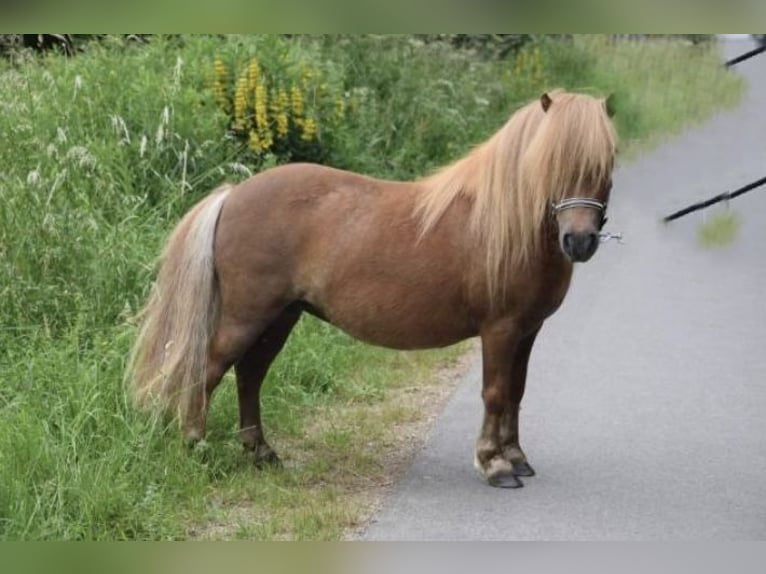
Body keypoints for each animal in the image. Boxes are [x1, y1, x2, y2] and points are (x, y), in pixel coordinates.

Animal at [126, 91, 616, 490]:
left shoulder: (527, 331)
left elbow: (516, 391)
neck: (506, 221)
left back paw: (261, 454)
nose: (579, 241)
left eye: (606, 164)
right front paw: (494, 466)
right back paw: (196, 446)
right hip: (246, 317)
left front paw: (516, 458)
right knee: (209, 369)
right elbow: (495, 393)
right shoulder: (500, 330)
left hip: (281, 317)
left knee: (250, 375)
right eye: (552, 163)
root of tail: (233, 195)